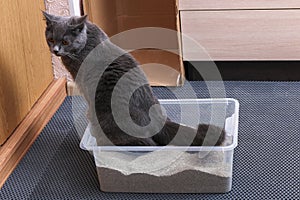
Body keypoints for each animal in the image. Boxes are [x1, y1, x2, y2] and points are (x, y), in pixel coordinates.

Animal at [42, 12, 225, 147]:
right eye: (50, 39)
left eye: (65, 41)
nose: (55, 50)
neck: (86, 41)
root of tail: (159, 121)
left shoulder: (84, 83)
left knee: (147, 145)